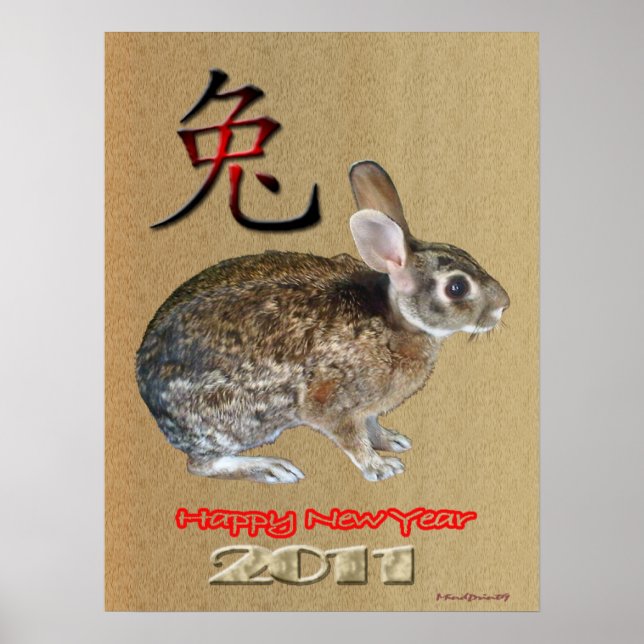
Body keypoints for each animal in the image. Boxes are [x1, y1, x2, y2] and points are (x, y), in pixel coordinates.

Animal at [135, 161, 510, 484]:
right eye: (457, 288)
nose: (503, 305)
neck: (396, 320)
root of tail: (149, 397)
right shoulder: (333, 403)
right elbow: (351, 439)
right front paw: (381, 467)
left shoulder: (367, 409)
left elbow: (372, 425)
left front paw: (392, 441)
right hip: (239, 418)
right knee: (201, 464)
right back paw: (271, 468)